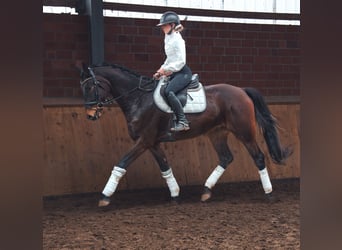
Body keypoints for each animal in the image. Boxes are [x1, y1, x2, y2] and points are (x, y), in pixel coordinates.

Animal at [77, 63, 292, 207]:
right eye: (83, 87)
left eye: (91, 86)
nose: (90, 115)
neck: (138, 99)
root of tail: (241, 90)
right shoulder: (153, 143)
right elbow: (165, 168)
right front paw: (175, 194)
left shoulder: (144, 141)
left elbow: (121, 164)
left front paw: (105, 196)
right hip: (217, 133)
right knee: (226, 158)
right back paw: (206, 191)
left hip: (244, 132)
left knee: (258, 157)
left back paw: (269, 193)